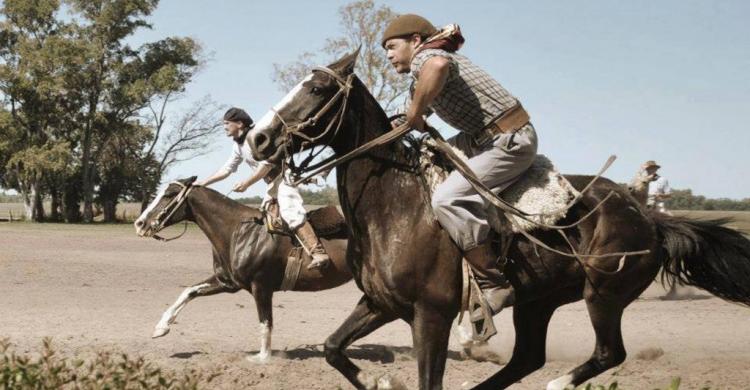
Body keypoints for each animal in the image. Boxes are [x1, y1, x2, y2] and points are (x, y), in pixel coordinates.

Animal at [134, 178, 352, 362]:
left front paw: (263, 357)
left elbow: (265, 322)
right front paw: (161, 328)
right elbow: (189, 291)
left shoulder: (261, 287)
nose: (140, 223)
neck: (238, 232)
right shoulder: (227, 282)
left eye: (169, 194)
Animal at [247, 50, 750, 388]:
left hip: (603, 296)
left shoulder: (431, 314)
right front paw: (378, 380)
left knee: (608, 352)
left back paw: (558, 383)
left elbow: (428, 379)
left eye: (316, 89)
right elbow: (333, 348)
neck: (393, 206)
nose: (258, 138)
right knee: (527, 358)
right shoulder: (379, 303)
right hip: (538, 302)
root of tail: (649, 219)